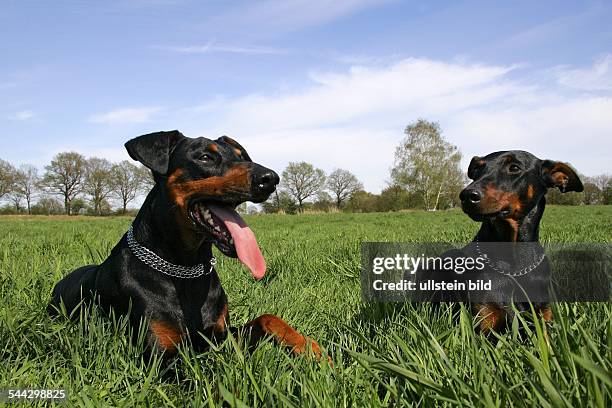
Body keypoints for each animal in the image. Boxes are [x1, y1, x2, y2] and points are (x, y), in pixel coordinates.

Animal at [48, 130, 326, 356]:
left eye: (241, 155)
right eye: (205, 157)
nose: (270, 178)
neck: (184, 270)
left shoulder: (221, 334)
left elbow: (266, 318)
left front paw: (309, 348)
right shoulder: (162, 355)